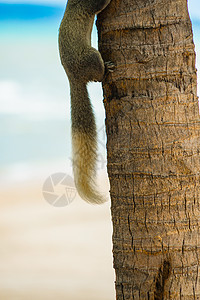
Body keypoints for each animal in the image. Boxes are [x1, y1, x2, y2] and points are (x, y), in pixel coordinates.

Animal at [58, 0, 113, 204]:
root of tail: (73, 77)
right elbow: (101, 4)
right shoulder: (89, 3)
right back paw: (107, 70)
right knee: (97, 75)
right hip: (91, 56)